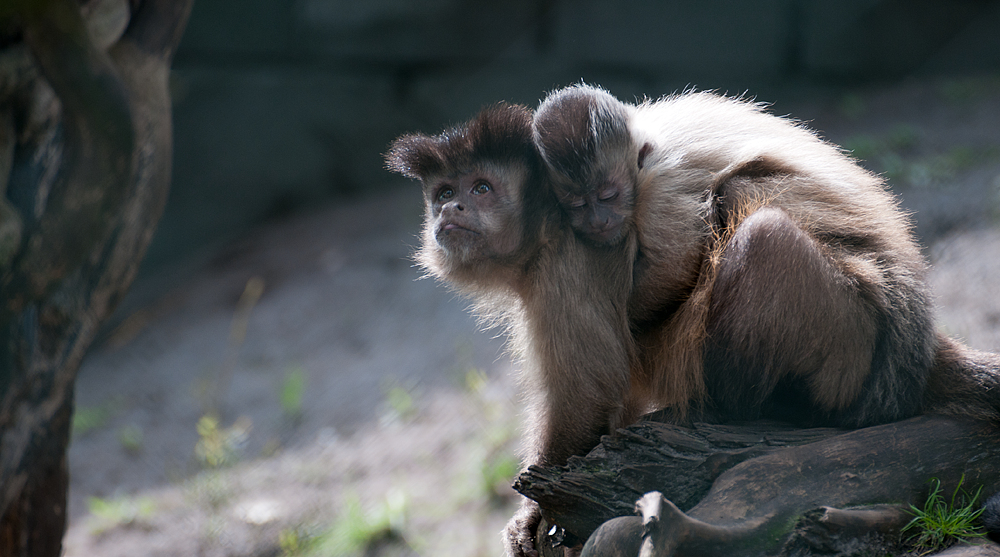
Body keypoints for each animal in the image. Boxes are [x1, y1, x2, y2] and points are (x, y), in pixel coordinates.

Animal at [384, 102, 640, 552]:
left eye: (481, 188)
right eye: (445, 194)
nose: (450, 210)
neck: (549, 226)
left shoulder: (564, 268)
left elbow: (587, 393)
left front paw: (537, 512)